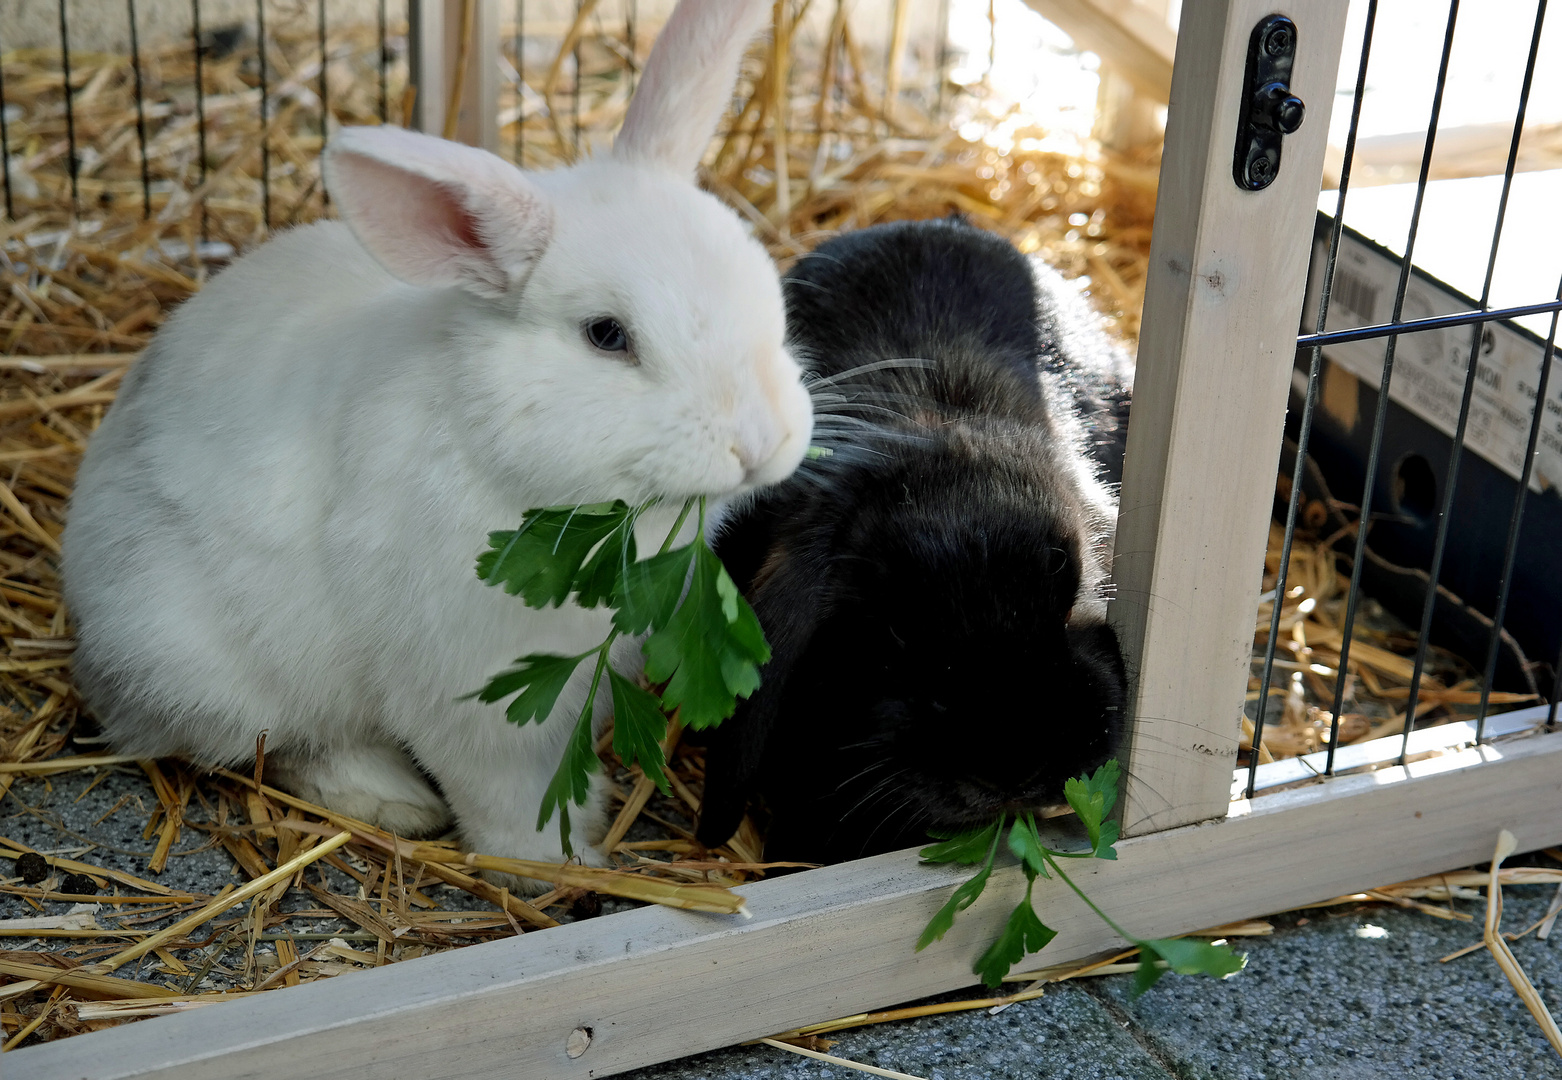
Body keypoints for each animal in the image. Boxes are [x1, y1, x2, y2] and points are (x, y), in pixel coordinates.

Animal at [65, 0, 812, 881]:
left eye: (763, 287)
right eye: (607, 335)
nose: (760, 443)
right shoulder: (472, 697)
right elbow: (504, 790)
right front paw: (552, 862)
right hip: (212, 667)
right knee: (278, 746)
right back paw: (393, 801)